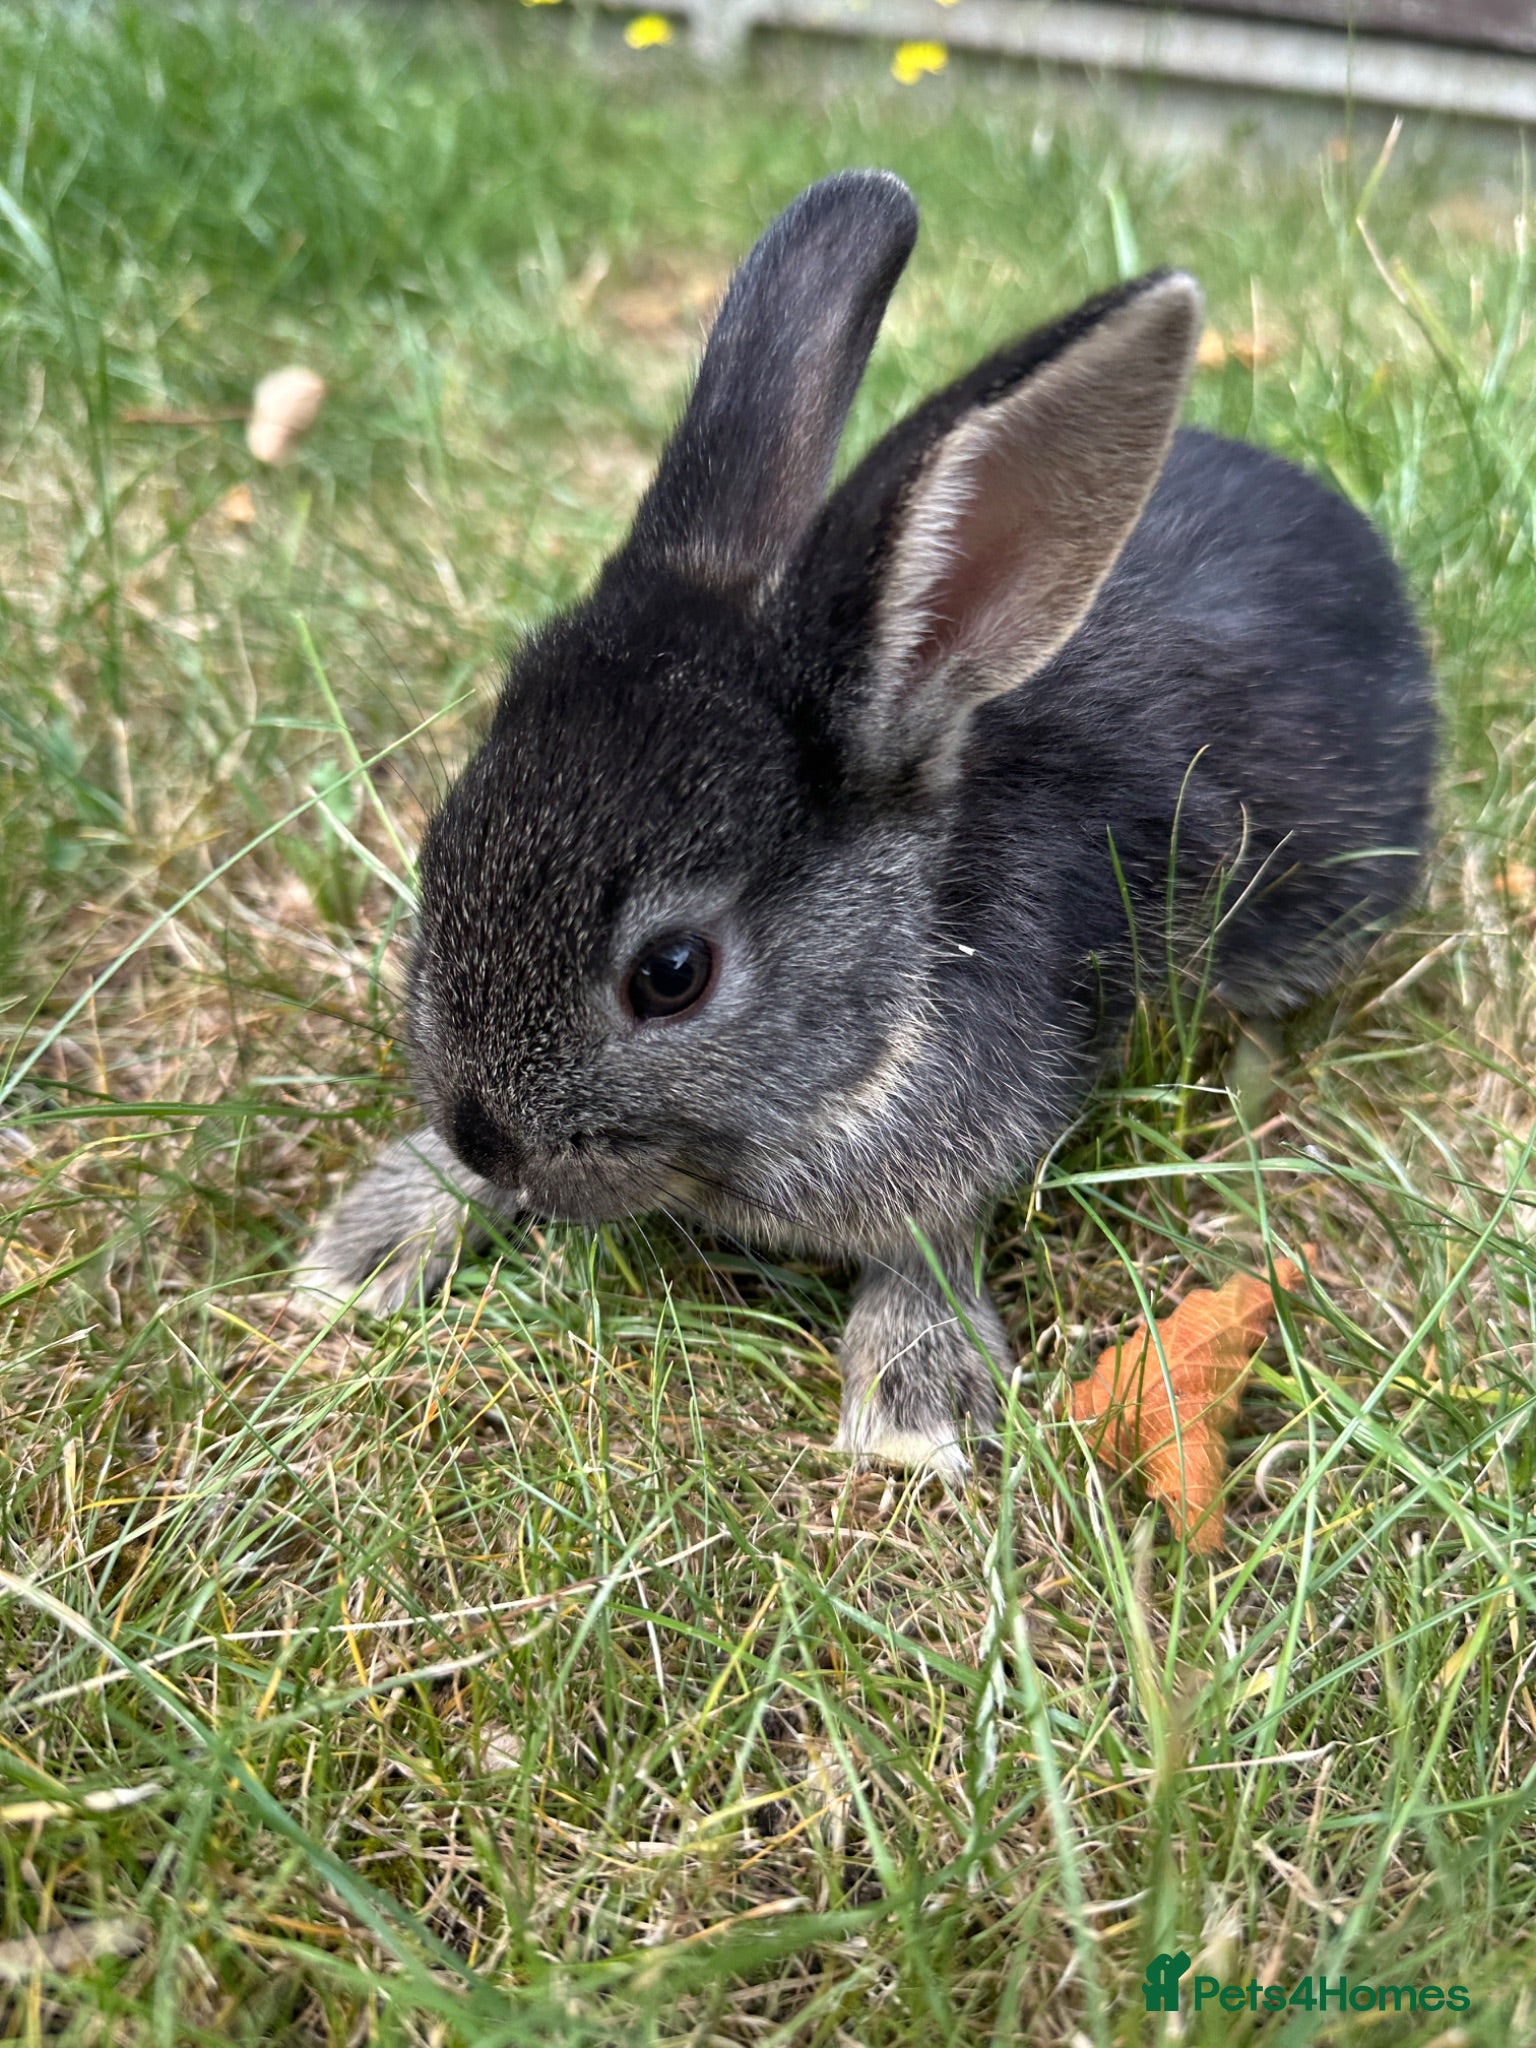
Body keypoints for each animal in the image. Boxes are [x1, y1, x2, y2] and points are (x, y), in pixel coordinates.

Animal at [301, 170, 1435, 1479]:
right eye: (441, 843)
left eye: (672, 972)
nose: (487, 1135)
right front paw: (374, 1237)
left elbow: (932, 1236)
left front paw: (915, 1403)